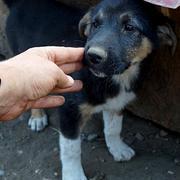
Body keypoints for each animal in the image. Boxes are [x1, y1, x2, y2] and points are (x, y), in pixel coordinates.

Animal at [4, 0, 176, 180]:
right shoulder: (70, 111)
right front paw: (73, 175)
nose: (92, 56)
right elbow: (71, 149)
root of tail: (20, 3)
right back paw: (37, 117)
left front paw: (117, 148)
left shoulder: (117, 103)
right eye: (95, 24)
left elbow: (113, 128)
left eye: (130, 27)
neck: (115, 79)